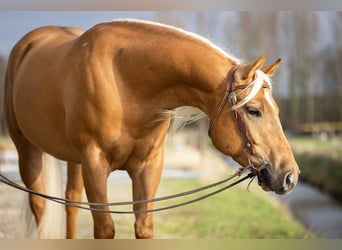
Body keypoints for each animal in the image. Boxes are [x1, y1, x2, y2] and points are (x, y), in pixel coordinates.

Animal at [4, 19, 300, 238]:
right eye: (253, 110)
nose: (290, 176)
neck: (125, 80)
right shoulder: (94, 163)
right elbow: (104, 228)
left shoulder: (148, 165)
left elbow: (143, 226)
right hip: (29, 152)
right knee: (40, 206)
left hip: (73, 160)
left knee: (71, 203)